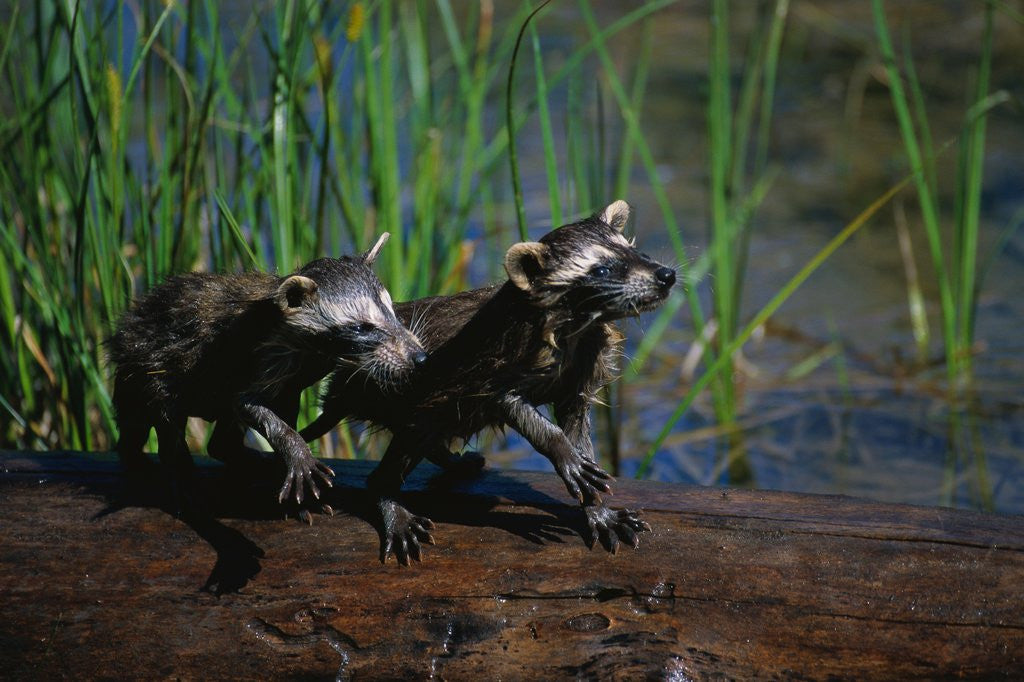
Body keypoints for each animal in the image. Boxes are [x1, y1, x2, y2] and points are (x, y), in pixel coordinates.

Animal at [109, 234, 424, 509]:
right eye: (362, 327)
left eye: (392, 312)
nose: (420, 357)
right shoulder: (259, 355)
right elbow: (246, 403)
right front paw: (295, 449)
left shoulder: (294, 377)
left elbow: (284, 403)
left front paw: (285, 457)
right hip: (148, 363)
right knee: (164, 421)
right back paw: (178, 472)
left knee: (217, 436)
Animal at [301, 201, 676, 563]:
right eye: (601, 270)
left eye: (634, 251)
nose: (666, 275)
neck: (579, 329)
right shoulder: (493, 364)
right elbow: (510, 404)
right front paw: (561, 449)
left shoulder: (580, 377)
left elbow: (580, 436)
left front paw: (597, 508)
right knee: (399, 453)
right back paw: (391, 502)